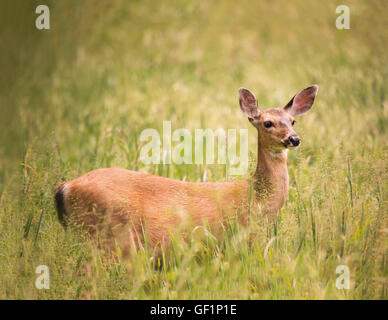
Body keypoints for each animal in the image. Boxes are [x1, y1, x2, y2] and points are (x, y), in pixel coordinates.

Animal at [54, 85, 318, 255]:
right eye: (267, 123)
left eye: (292, 121)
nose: (294, 139)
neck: (257, 195)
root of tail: (65, 187)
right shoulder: (241, 237)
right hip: (109, 233)